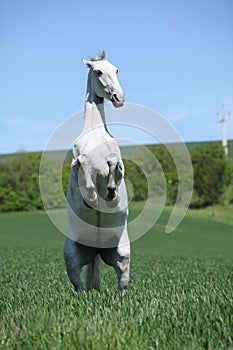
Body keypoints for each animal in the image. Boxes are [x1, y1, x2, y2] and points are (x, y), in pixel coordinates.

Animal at [64, 51, 130, 292]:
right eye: (99, 71)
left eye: (117, 69)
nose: (119, 98)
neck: (95, 135)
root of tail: (96, 251)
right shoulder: (77, 164)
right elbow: (83, 167)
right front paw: (93, 198)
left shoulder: (119, 165)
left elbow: (115, 166)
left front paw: (110, 191)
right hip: (72, 257)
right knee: (79, 288)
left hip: (122, 256)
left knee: (122, 287)